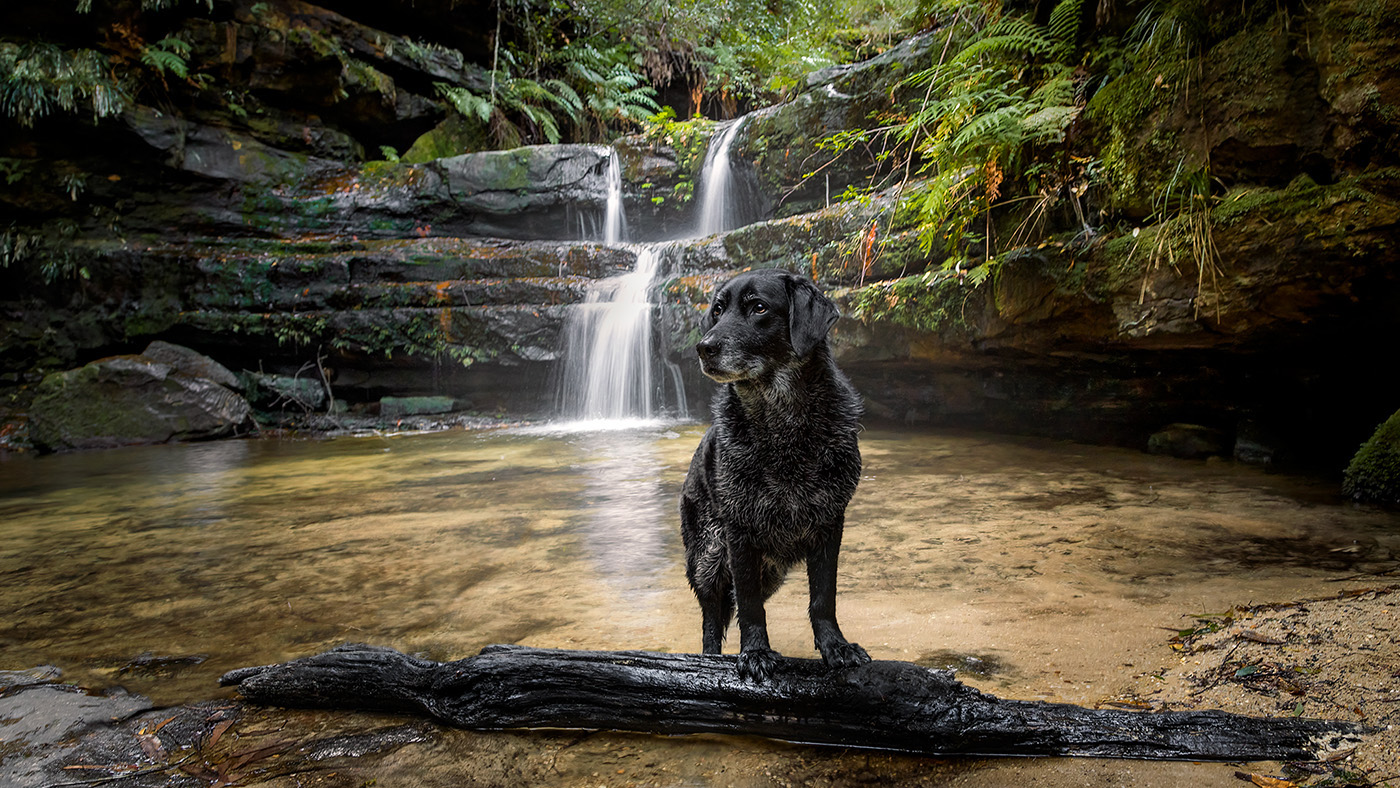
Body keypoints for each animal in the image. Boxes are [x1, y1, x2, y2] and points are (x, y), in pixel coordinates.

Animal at [674, 268, 862, 680]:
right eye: (717, 310)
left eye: (758, 307)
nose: (704, 347)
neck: (783, 427)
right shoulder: (739, 533)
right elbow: (748, 605)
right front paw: (756, 652)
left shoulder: (830, 523)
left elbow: (823, 597)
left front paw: (836, 647)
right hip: (708, 558)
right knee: (711, 620)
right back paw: (707, 661)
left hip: (770, 569)